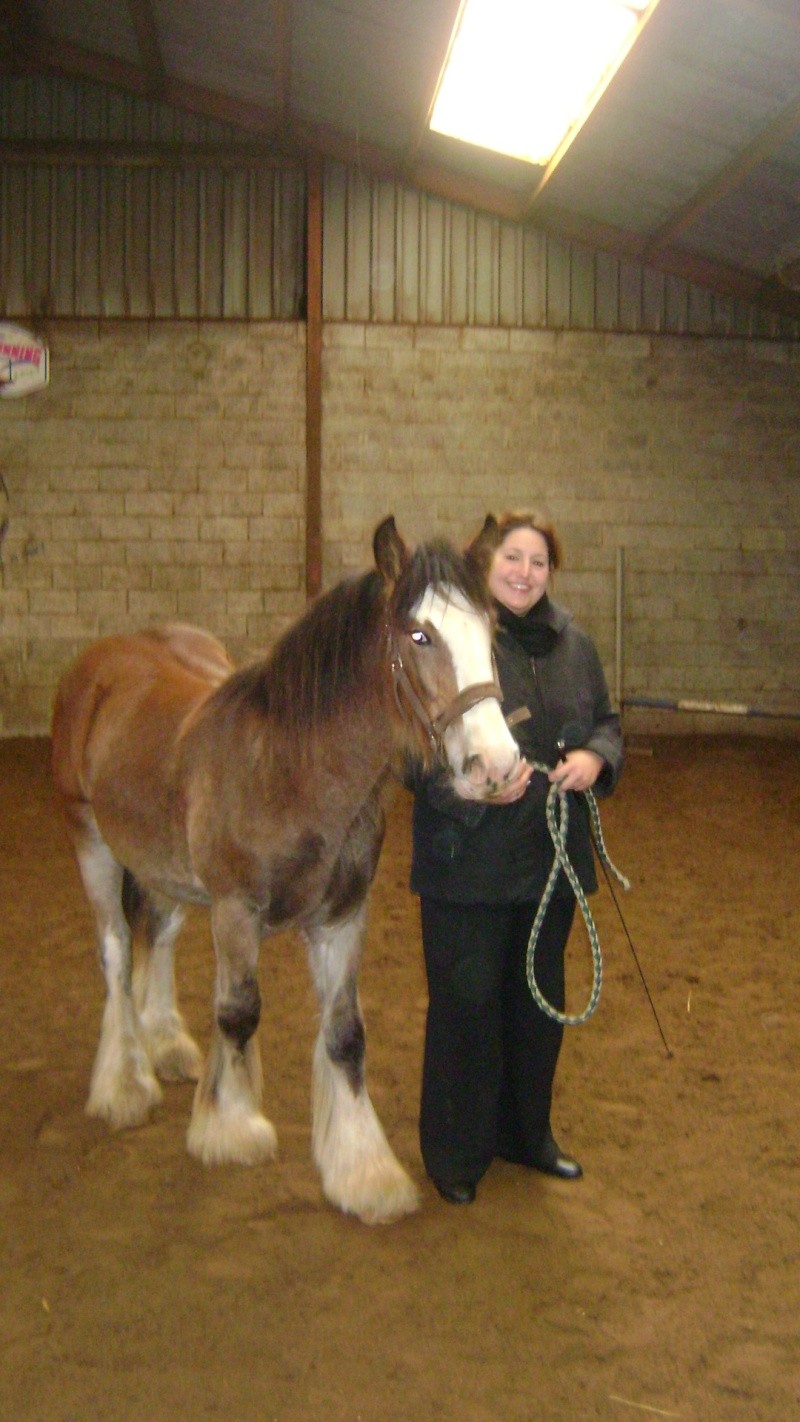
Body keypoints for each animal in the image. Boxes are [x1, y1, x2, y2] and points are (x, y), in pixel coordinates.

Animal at [51, 517, 520, 1228]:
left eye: (489, 632)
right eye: (420, 635)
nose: (495, 766)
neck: (291, 770)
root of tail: (99, 663)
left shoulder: (342, 918)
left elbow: (346, 1034)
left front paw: (364, 1171)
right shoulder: (236, 910)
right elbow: (239, 1012)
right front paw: (230, 1127)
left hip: (166, 869)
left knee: (157, 937)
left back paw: (166, 1046)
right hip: (92, 840)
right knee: (114, 950)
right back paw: (125, 1083)